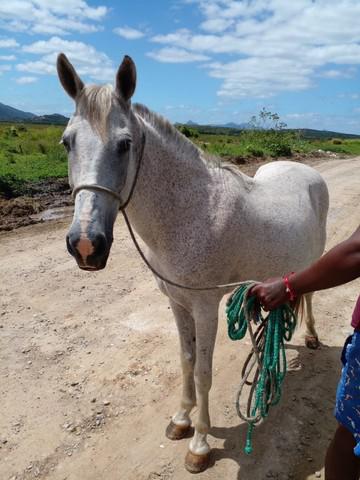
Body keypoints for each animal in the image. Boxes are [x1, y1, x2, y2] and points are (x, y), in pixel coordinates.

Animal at [55, 52, 330, 472]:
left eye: (125, 144)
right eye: (67, 142)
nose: (86, 245)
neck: (192, 212)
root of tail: (306, 170)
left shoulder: (205, 306)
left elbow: (202, 373)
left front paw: (199, 444)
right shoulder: (178, 302)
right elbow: (185, 361)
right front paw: (181, 421)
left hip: (314, 256)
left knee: (311, 294)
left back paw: (312, 337)